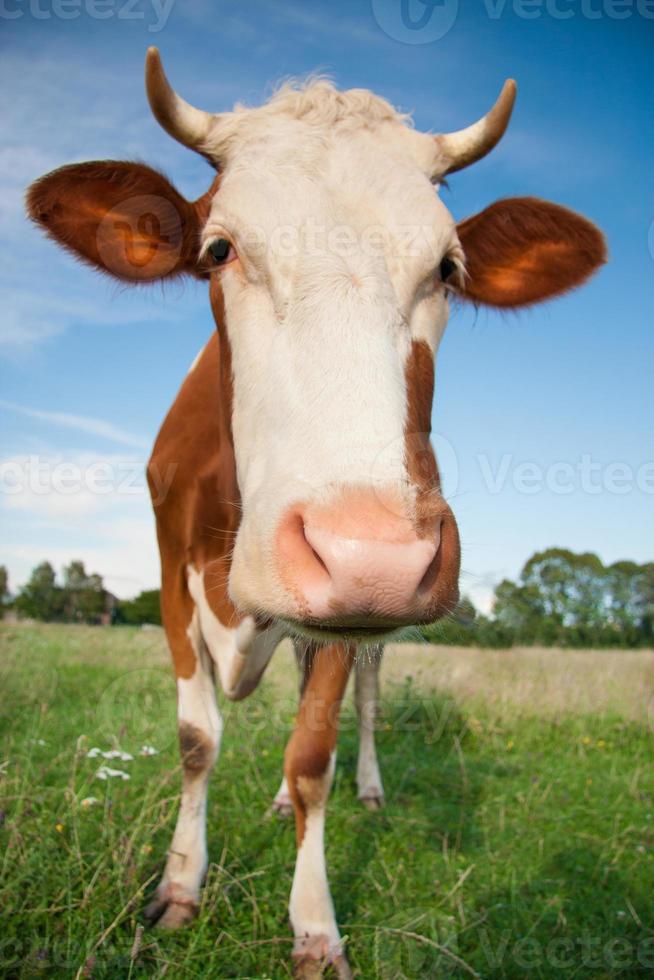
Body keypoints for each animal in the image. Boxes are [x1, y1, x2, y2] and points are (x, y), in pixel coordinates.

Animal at [28, 49, 608, 976]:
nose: (371, 555)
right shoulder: (167, 573)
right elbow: (196, 739)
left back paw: (367, 786)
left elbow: (313, 756)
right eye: (219, 248)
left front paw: (314, 929)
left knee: (357, 706)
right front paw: (179, 887)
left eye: (447, 268)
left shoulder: (352, 615)